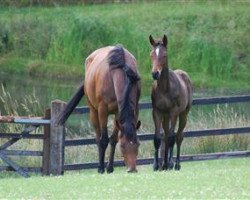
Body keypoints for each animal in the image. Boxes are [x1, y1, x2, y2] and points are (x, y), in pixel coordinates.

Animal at [84, 44, 141, 173]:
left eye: (138, 144)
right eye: (123, 146)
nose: (132, 169)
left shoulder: (122, 112)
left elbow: (114, 139)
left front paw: (110, 167)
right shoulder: (103, 110)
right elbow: (104, 139)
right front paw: (101, 168)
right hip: (93, 111)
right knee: (98, 137)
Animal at [149, 34, 192, 170]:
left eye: (164, 55)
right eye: (151, 54)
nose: (155, 73)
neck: (164, 88)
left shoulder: (174, 112)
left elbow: (173, 138)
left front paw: (171, 163)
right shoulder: (157, 112)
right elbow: (157, 138)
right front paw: (156, 165)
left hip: (183, 114)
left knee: (178, 136)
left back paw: (176, 163)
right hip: (166, 116)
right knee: (166, 136)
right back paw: (164, 164)